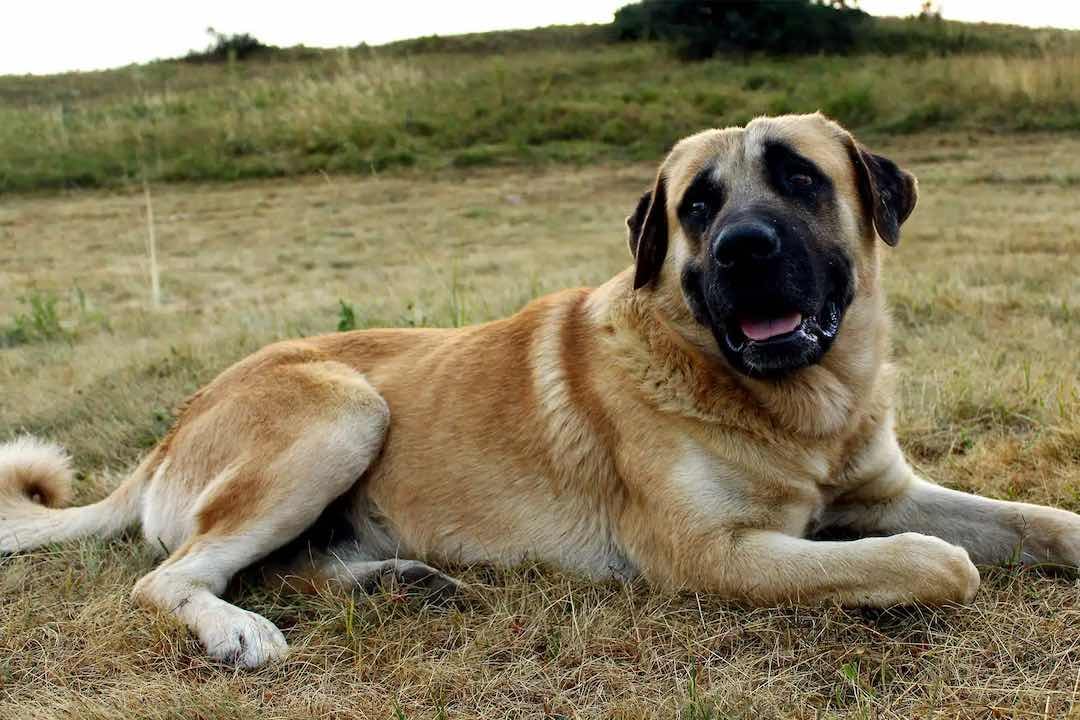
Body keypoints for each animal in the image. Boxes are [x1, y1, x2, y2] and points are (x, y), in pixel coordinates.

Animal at [2, 113, 1080, 669]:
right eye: (697, 205)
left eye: (801, 179)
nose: (742, 249)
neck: (792, 411)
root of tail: (170, 428)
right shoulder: (710, 554)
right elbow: (937, 562)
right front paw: (935, 567)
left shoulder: (887, 490)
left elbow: (1038, 520)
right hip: (346, 410)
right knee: (172, 578)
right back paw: (238, 631)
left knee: (270, 562)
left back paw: (393, 580)